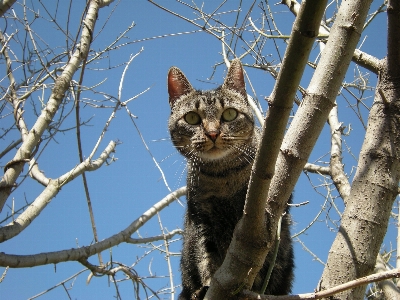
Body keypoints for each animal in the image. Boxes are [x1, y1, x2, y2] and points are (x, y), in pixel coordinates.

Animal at [166, 58, 294, 300]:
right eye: (192, 118)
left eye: (230, 114)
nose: (213, 133)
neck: (223, 175)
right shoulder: (201, 219)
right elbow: (206, 259)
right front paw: (207, 285)